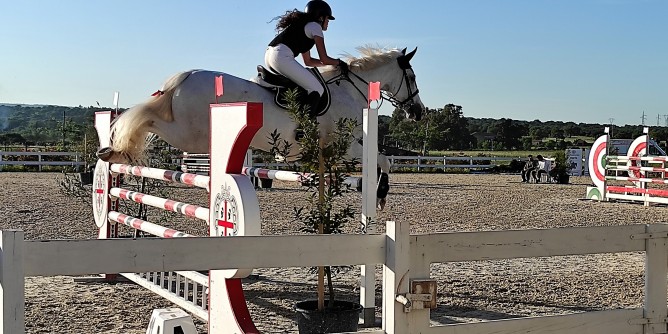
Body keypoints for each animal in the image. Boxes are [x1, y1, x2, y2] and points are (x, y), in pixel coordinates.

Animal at [96, 46, 426, 209]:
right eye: (411, 77)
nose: (418, 112)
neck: (350, 89)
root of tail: (186, 76)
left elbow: (381, 160)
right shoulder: (347, 147)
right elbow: (383, 160)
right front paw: (381, 196)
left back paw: (111, 150)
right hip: (191, 135)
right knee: (146, 121)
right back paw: (114, 147)